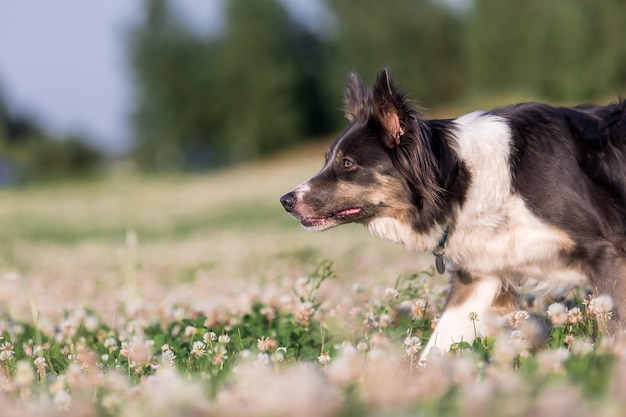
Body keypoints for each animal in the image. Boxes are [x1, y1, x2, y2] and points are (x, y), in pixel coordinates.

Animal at [280, 69, 624, 360]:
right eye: (328, 159)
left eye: (348, 163)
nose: (285, 200)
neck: (462, 181)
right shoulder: (481, 273)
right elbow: (437, 346)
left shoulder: (606, 252)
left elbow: (613, 325)